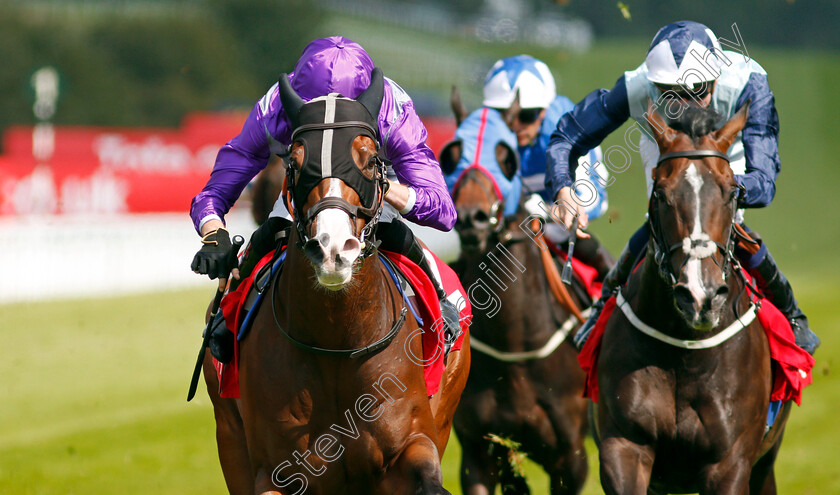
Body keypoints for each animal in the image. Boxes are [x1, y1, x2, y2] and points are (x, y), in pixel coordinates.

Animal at [202, 70, 466, 495]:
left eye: (371, 159)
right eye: (295, 162)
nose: (331, 248)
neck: (337, 343)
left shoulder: (413, 443)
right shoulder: (272, 471)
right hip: (228, 431)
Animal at [442, 109, 588, 495]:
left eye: (505, 157)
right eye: (451, 155)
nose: (472, 217)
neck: (514, 346)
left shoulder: (571, 459)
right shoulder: (479, 451)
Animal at [592, 101, 796, 495]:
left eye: (732, 192)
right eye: (660, 193)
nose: (700, 296)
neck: (684, 353)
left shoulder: (730, 462)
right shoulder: (623, 446)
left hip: (766, 460)